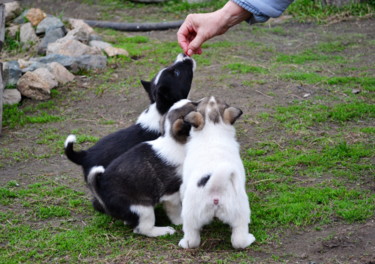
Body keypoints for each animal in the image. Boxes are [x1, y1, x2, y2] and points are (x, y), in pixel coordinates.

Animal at [85, 99, 197, 237]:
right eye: (195, 107)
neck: (175, 143)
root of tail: (100, 189)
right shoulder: (171, 194)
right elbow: (175, 210)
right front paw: (180, 222)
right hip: (143, 209)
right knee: (143, 228)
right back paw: (164, 230)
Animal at [178, 96, 256, 249]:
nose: (211, 96)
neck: (212, 131)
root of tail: (215, 186)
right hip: (240, 212)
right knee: (238, 240)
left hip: (190, 216)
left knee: (192, 240)